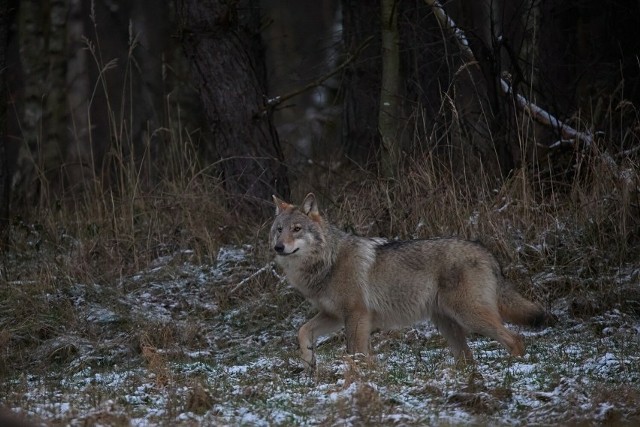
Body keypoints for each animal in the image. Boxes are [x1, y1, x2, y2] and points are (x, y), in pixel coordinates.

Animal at [268, 194, 552, 368]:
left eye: (297, 229)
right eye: (279, 229)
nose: (278, 247)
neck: (328, 261)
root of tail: (485, 250)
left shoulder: (356, 315)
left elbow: (355, 352)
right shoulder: (334, 315)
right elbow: (302, 331)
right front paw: (308, 360)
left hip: (470, 316)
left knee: (515, 338)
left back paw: (514, 367)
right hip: (448, 325)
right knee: (468, 357)